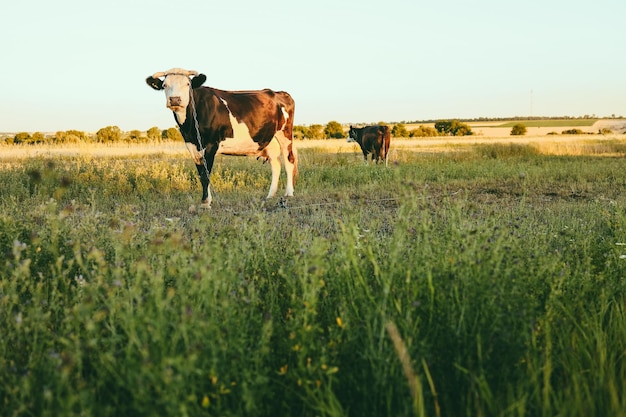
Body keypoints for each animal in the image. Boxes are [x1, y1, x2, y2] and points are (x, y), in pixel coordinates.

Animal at [145, 69, 296, 210]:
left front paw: (205, 203)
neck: (190, 126)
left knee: (289, 160)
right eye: (165, 85)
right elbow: (201, 174)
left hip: (285, 134)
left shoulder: (211, 145)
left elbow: (206, 175)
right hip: (269, 140)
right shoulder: (193, 147)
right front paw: (207, 200)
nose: (175, 99)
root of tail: (278, 93)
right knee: (276, 163)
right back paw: (270, 195)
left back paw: (289, 193)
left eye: (187, 84)